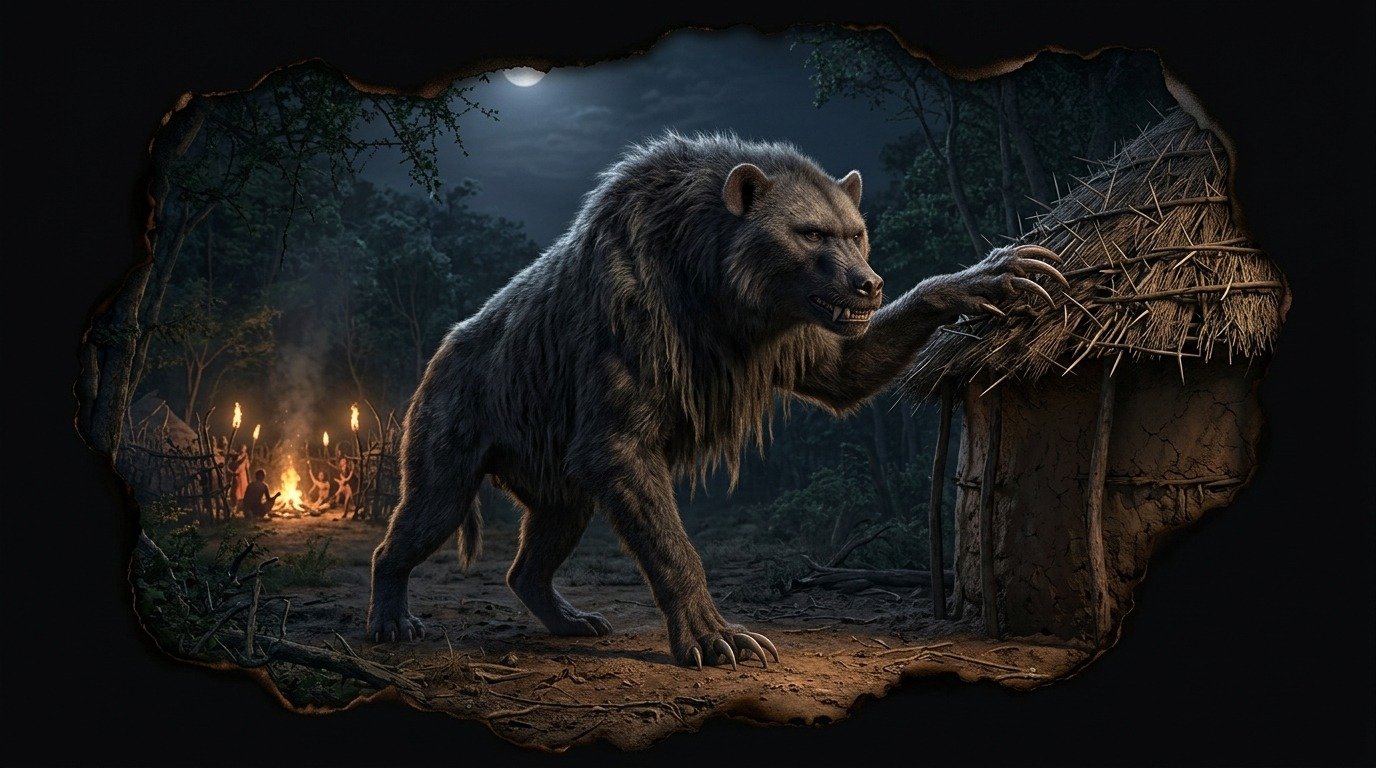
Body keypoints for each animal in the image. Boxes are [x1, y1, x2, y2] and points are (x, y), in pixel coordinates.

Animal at [366, 131, 1064, 669]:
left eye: (856, 233)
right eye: (811, 233)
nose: (867, 284)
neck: (716, 286)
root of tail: (440, 351)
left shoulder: (800, 341)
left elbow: (848, 368)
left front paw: (990, 276)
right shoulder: (618, 432)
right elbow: (672, 545)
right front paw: (716, 638)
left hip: (560, 490)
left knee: (529, 564)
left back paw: (571, 620)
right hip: (449, 452)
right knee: (412, 528)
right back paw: (391, 621)